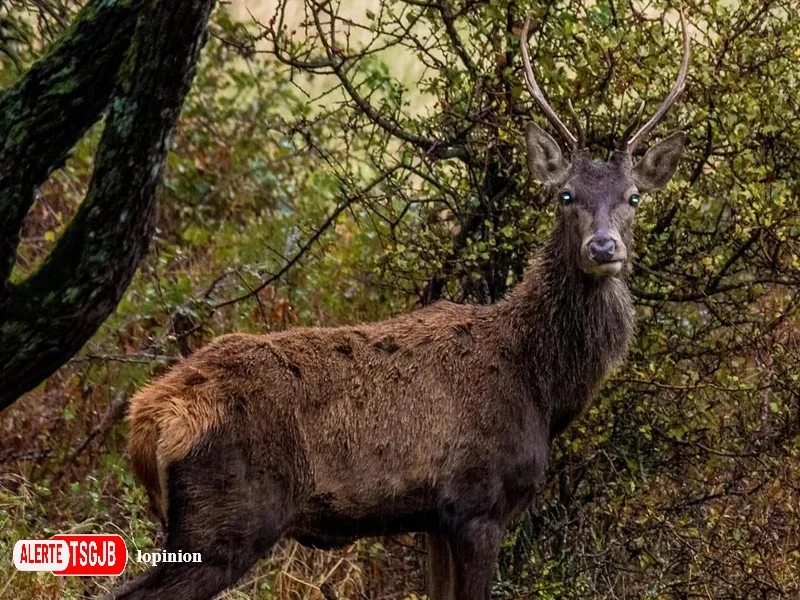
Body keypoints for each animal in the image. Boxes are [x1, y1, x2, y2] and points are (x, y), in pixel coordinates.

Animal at [110, 12, 690, 600]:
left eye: (634, 197)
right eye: (565, 195)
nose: (603, 247)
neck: (542, 387)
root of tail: (147, 421)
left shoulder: (433, 519)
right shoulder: (478, 501)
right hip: (228, 517)